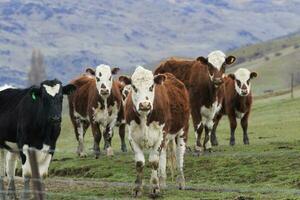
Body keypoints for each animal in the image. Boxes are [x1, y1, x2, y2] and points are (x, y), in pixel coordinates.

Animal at [119, 66, 188, 198]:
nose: (145, 104)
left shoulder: (161, 135)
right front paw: (137, 188)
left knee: (179, 155)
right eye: (134, 87)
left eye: (151, 86)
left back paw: (181, 182)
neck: (145, 116)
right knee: (164, 156)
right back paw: (163, 182)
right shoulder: (132, 137)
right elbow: (140, 163)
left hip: (182, 130)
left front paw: (155, 188)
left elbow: (154, 161)